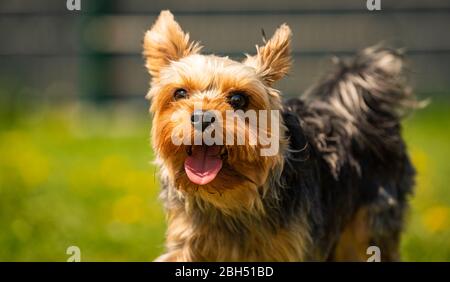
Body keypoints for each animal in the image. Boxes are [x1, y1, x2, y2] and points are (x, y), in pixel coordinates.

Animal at [142, 11, 418, 262]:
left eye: (238, 99)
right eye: (179, 93)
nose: (201, 117)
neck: (229, 202)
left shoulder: (291, 246)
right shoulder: (186, 241)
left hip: (370, 221)